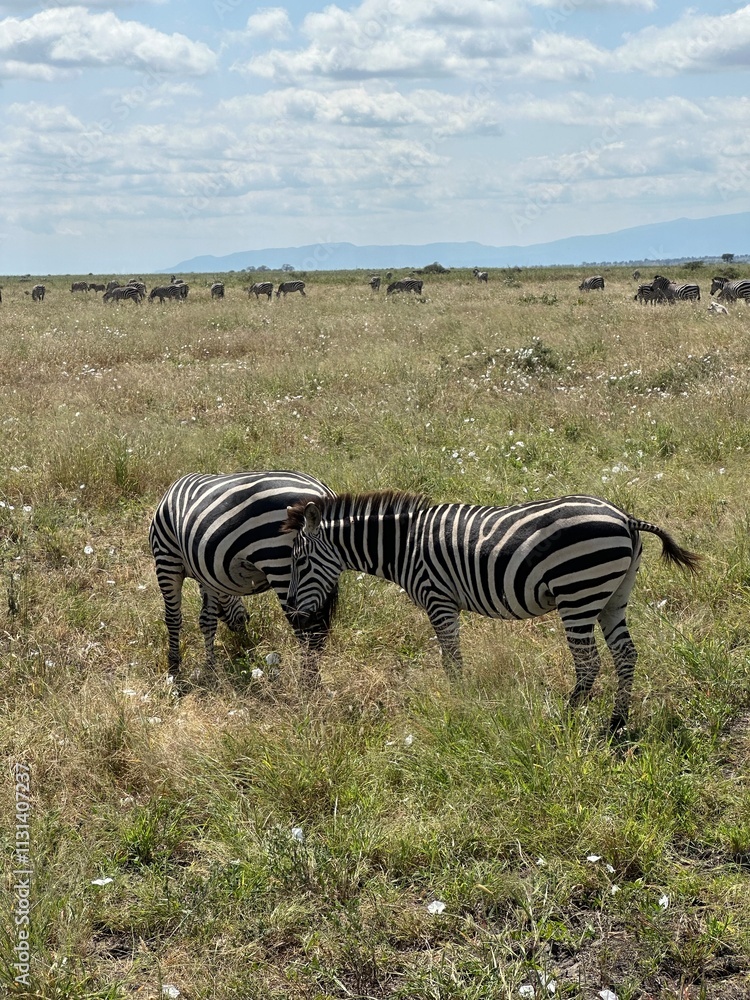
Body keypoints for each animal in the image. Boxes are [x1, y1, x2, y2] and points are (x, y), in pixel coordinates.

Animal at [149, 471, 339, 685]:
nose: (245, 619)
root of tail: (322, 490)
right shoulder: (207, 572)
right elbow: (207, 621)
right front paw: (211, 669)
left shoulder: (167, 559)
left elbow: (173, 618)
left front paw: (174, 667)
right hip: (319, 577)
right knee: (318, 631)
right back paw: (311, 680)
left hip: (284, 567)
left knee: (309, 631)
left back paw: (307, 683)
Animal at [283, 490, 699, 732]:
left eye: (299, 561)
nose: (294, 616)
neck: (403, 547)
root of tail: (625, 518)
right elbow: (452, 657)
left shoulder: (439, 599)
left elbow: (452, 659)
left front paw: (460, 704)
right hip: (612, 596)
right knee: (625, 653)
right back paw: (616, 722)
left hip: (578, 590)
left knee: (588, 662)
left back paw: (566, 717)